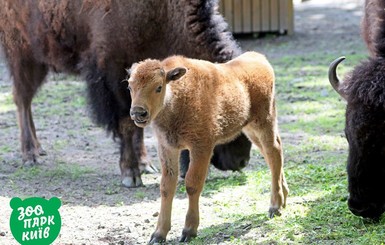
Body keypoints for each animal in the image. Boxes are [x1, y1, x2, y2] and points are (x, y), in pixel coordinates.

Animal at [0, 0, 250, 188]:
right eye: (222, 110)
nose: (241, 160)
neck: (161, 14)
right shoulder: (114, 78)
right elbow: (127, 124)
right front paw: (131, 175)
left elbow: (139, 124)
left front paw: (145, 165)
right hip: (23, 53)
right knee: (22, 99)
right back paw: (30, 155)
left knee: (27, 100)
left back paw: (38, 149)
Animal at [127, 50, 286, 242]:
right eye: (130, 87)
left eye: (158, 87)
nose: (138, 113)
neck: (176, 95)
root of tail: (259, 58)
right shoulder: (167, 147)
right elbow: (166, 186)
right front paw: (158, 234)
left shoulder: (201, 147)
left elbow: (192, 184)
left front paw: (189, 230)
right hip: (250, 129)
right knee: (272, 155)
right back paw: (283, 198)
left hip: (264, 123)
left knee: (274, 152)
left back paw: (274, 207)